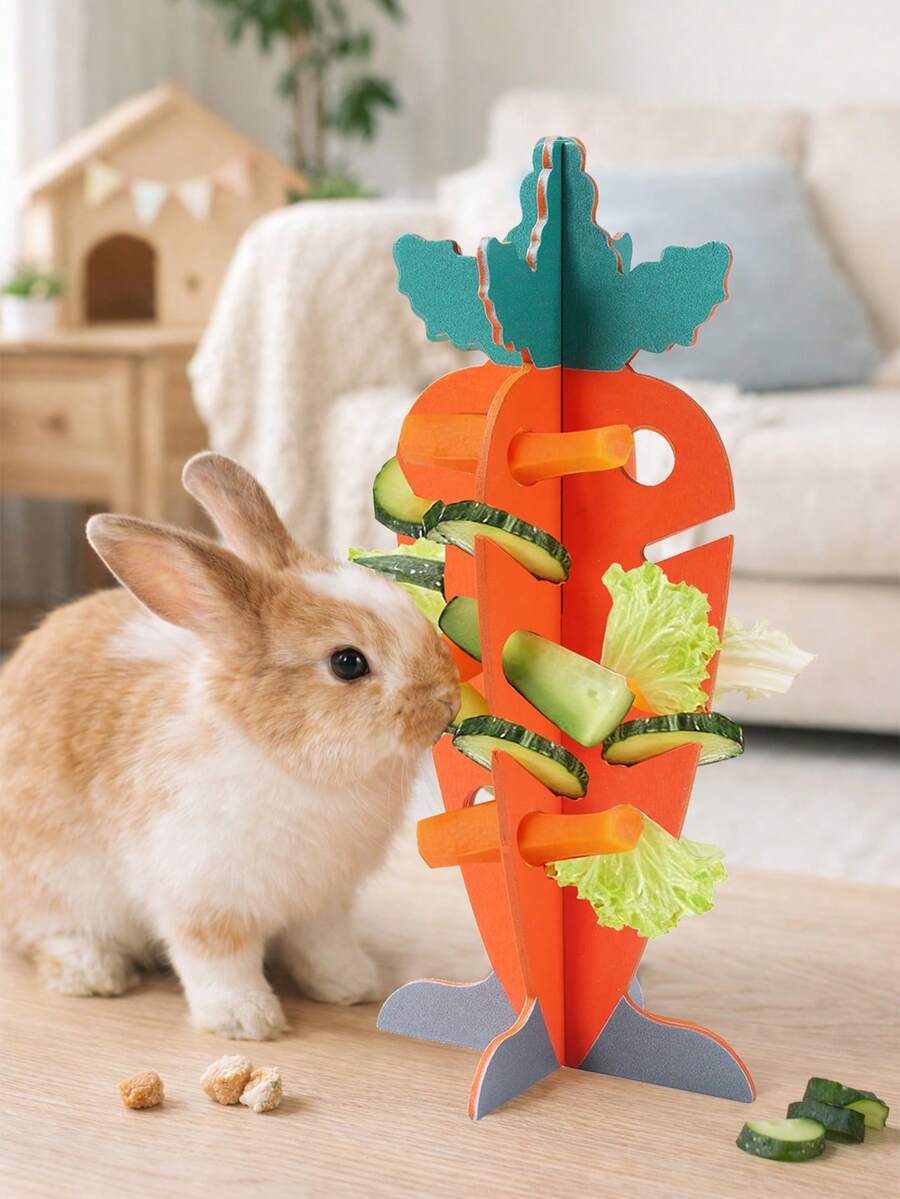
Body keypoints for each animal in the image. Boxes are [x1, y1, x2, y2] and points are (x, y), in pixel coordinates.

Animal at [0, 452, 459, 1040]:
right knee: (46, 933)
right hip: (53, 884)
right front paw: (246, 1020)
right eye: (347, 663)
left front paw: (349, 985)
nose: (447, 702)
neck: (288, 761)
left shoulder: (323, 900)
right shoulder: (202, 897)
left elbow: (322, 943)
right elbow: (218, 959)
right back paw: (93, 972)